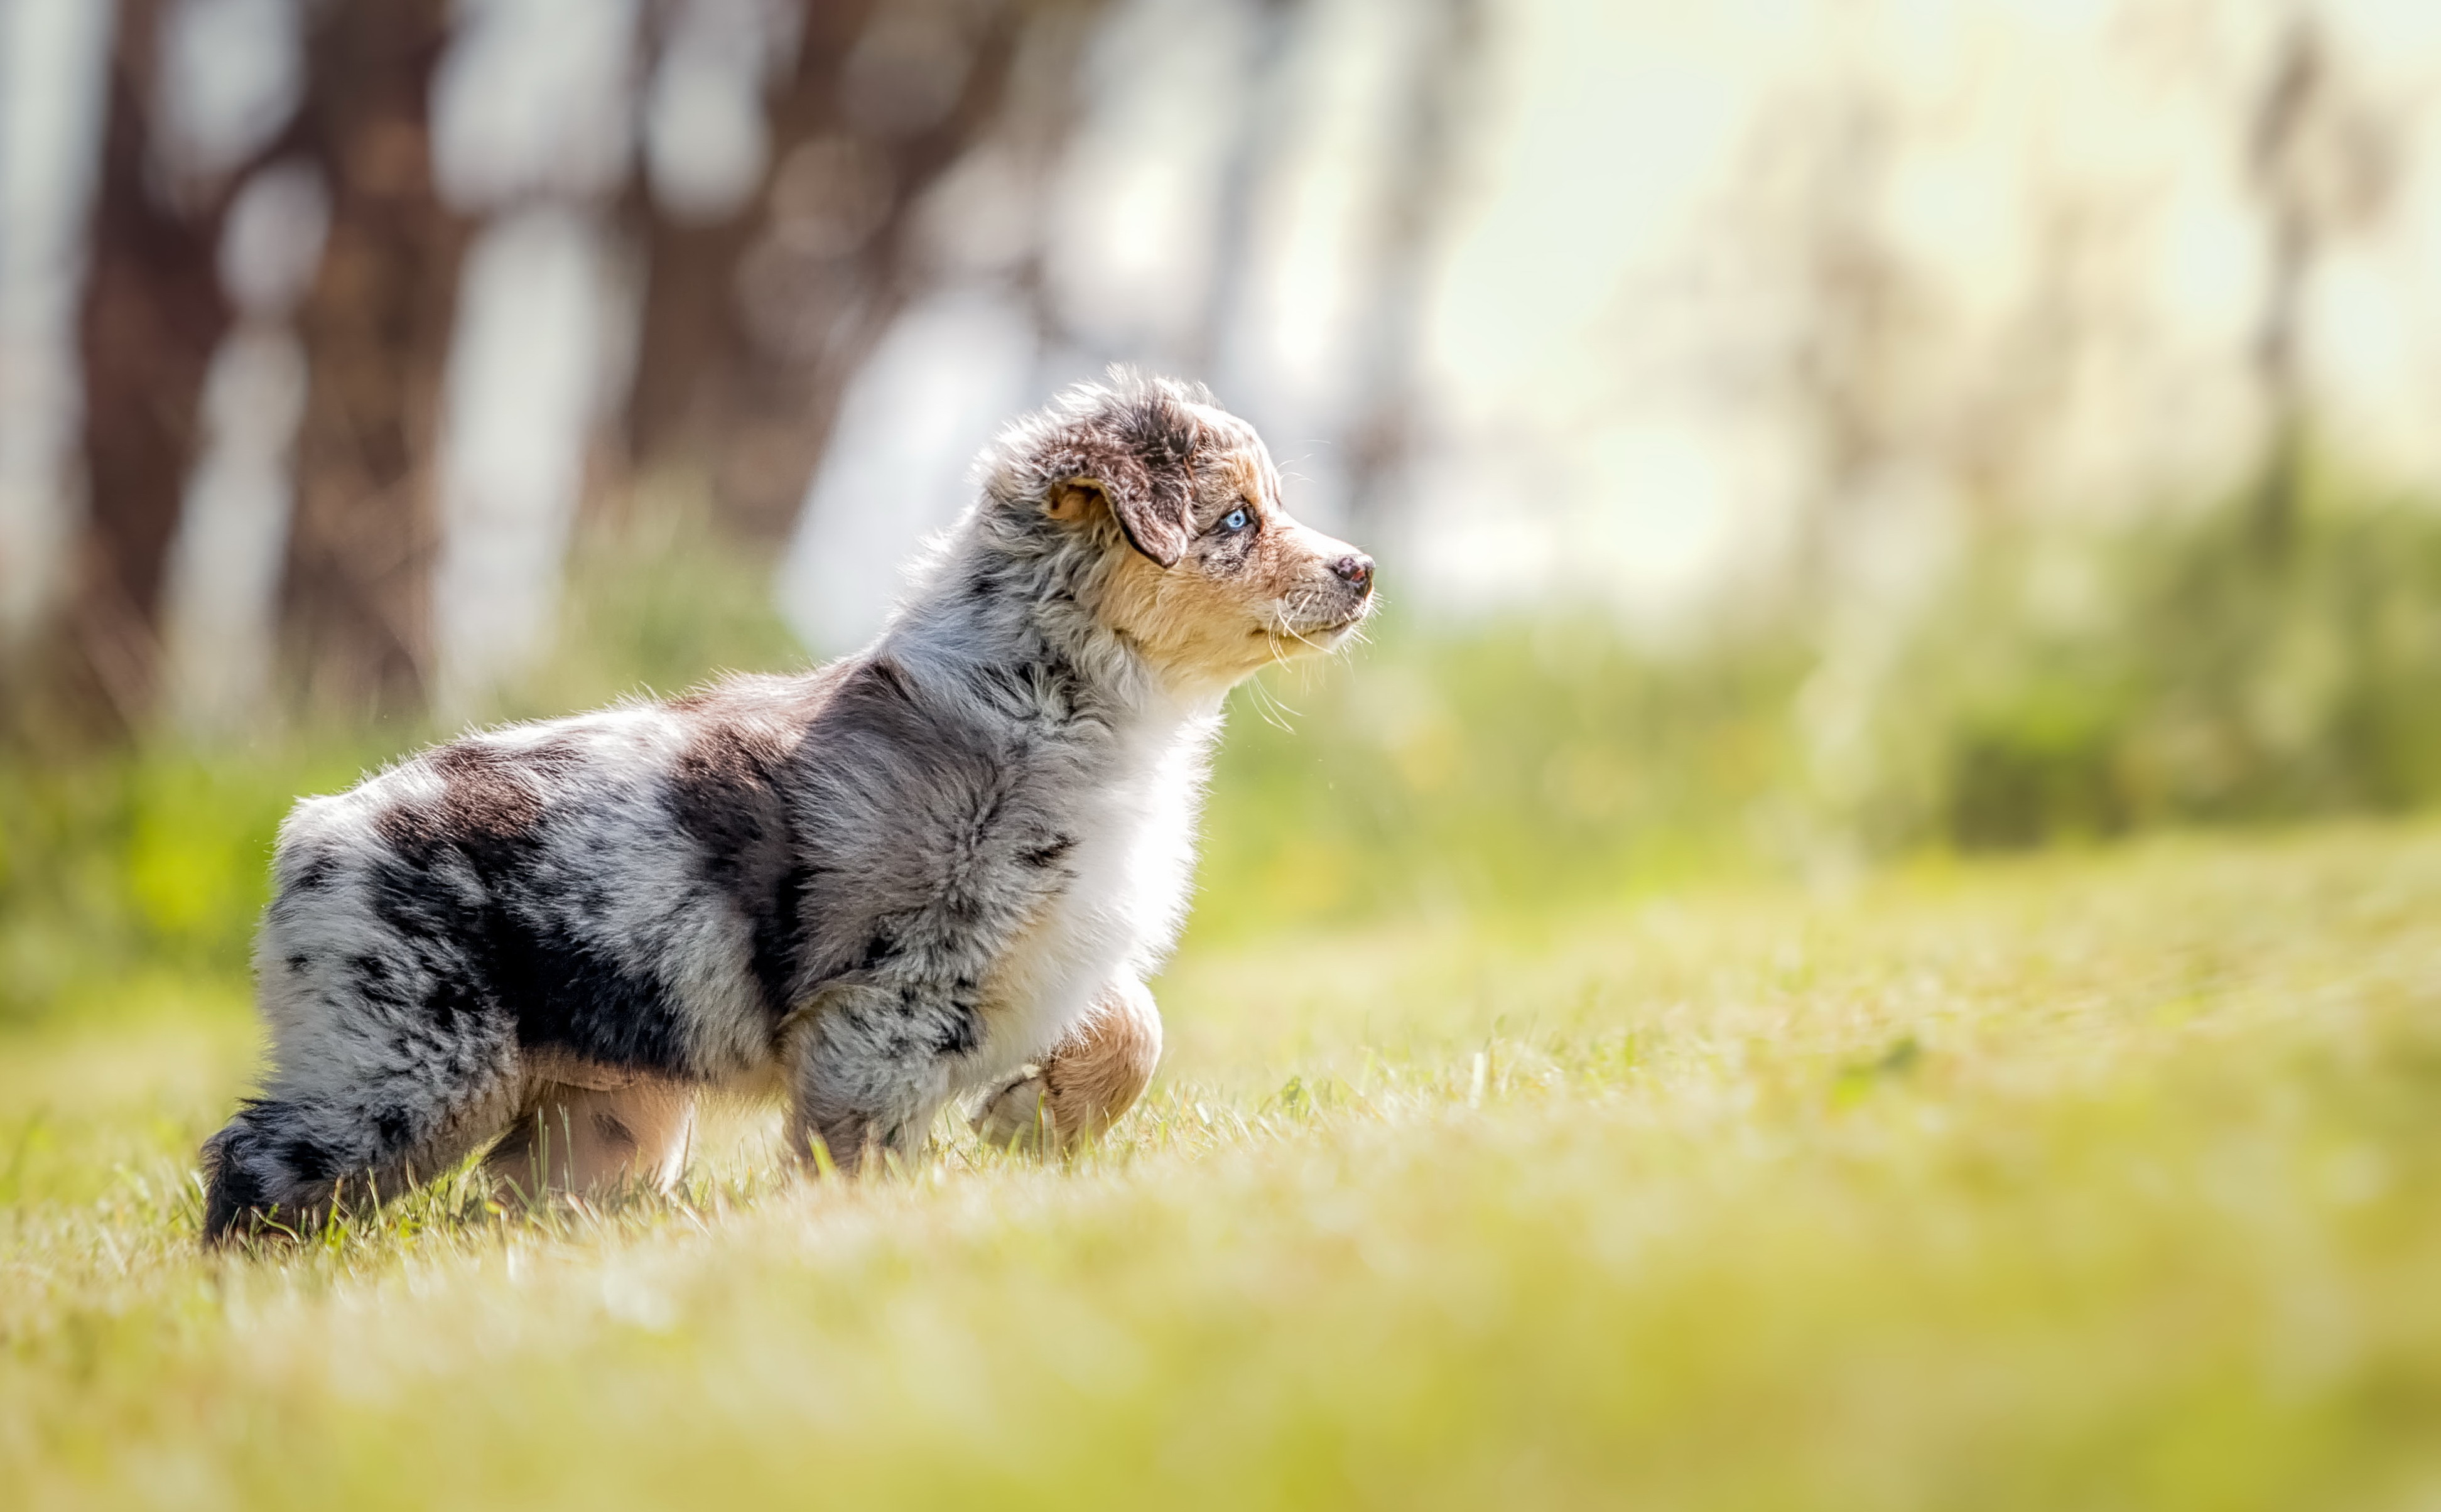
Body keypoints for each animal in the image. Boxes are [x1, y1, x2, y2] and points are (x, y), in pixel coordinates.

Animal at [200, 375, 1377, 1239]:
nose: (1361, 569)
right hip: (407, 1067)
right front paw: (869, 1226)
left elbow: (1136, 1026)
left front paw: (1028, 1121)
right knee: (258, 1165)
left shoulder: (1047, 949)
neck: (1055, 701)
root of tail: (316, 827)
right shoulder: (894, 992)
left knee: (518, 1200)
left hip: (605, 1114)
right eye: (1236, 518)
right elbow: (863, 1142)